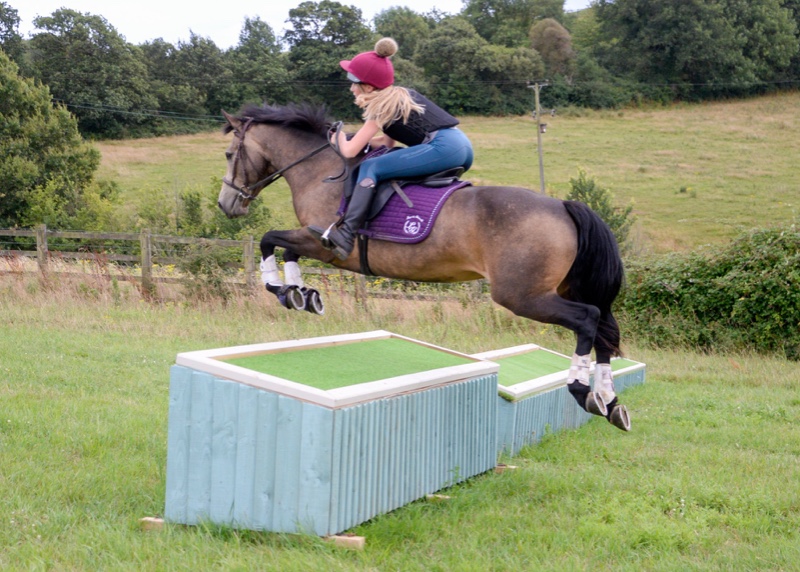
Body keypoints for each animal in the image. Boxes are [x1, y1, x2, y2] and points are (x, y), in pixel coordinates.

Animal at [219, 103, 632, 432]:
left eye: (227, 154)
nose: (227, 204)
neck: (321, 170)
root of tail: (563, 205)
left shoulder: (327, 244)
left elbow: (269, 239)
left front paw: (281, 289)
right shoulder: (313, 241)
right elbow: (284, 250)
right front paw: (301, 294)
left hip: (522, 295)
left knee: (587, 319)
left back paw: (582, 390)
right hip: (557, 289)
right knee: (601, 330)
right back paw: (609, 400)